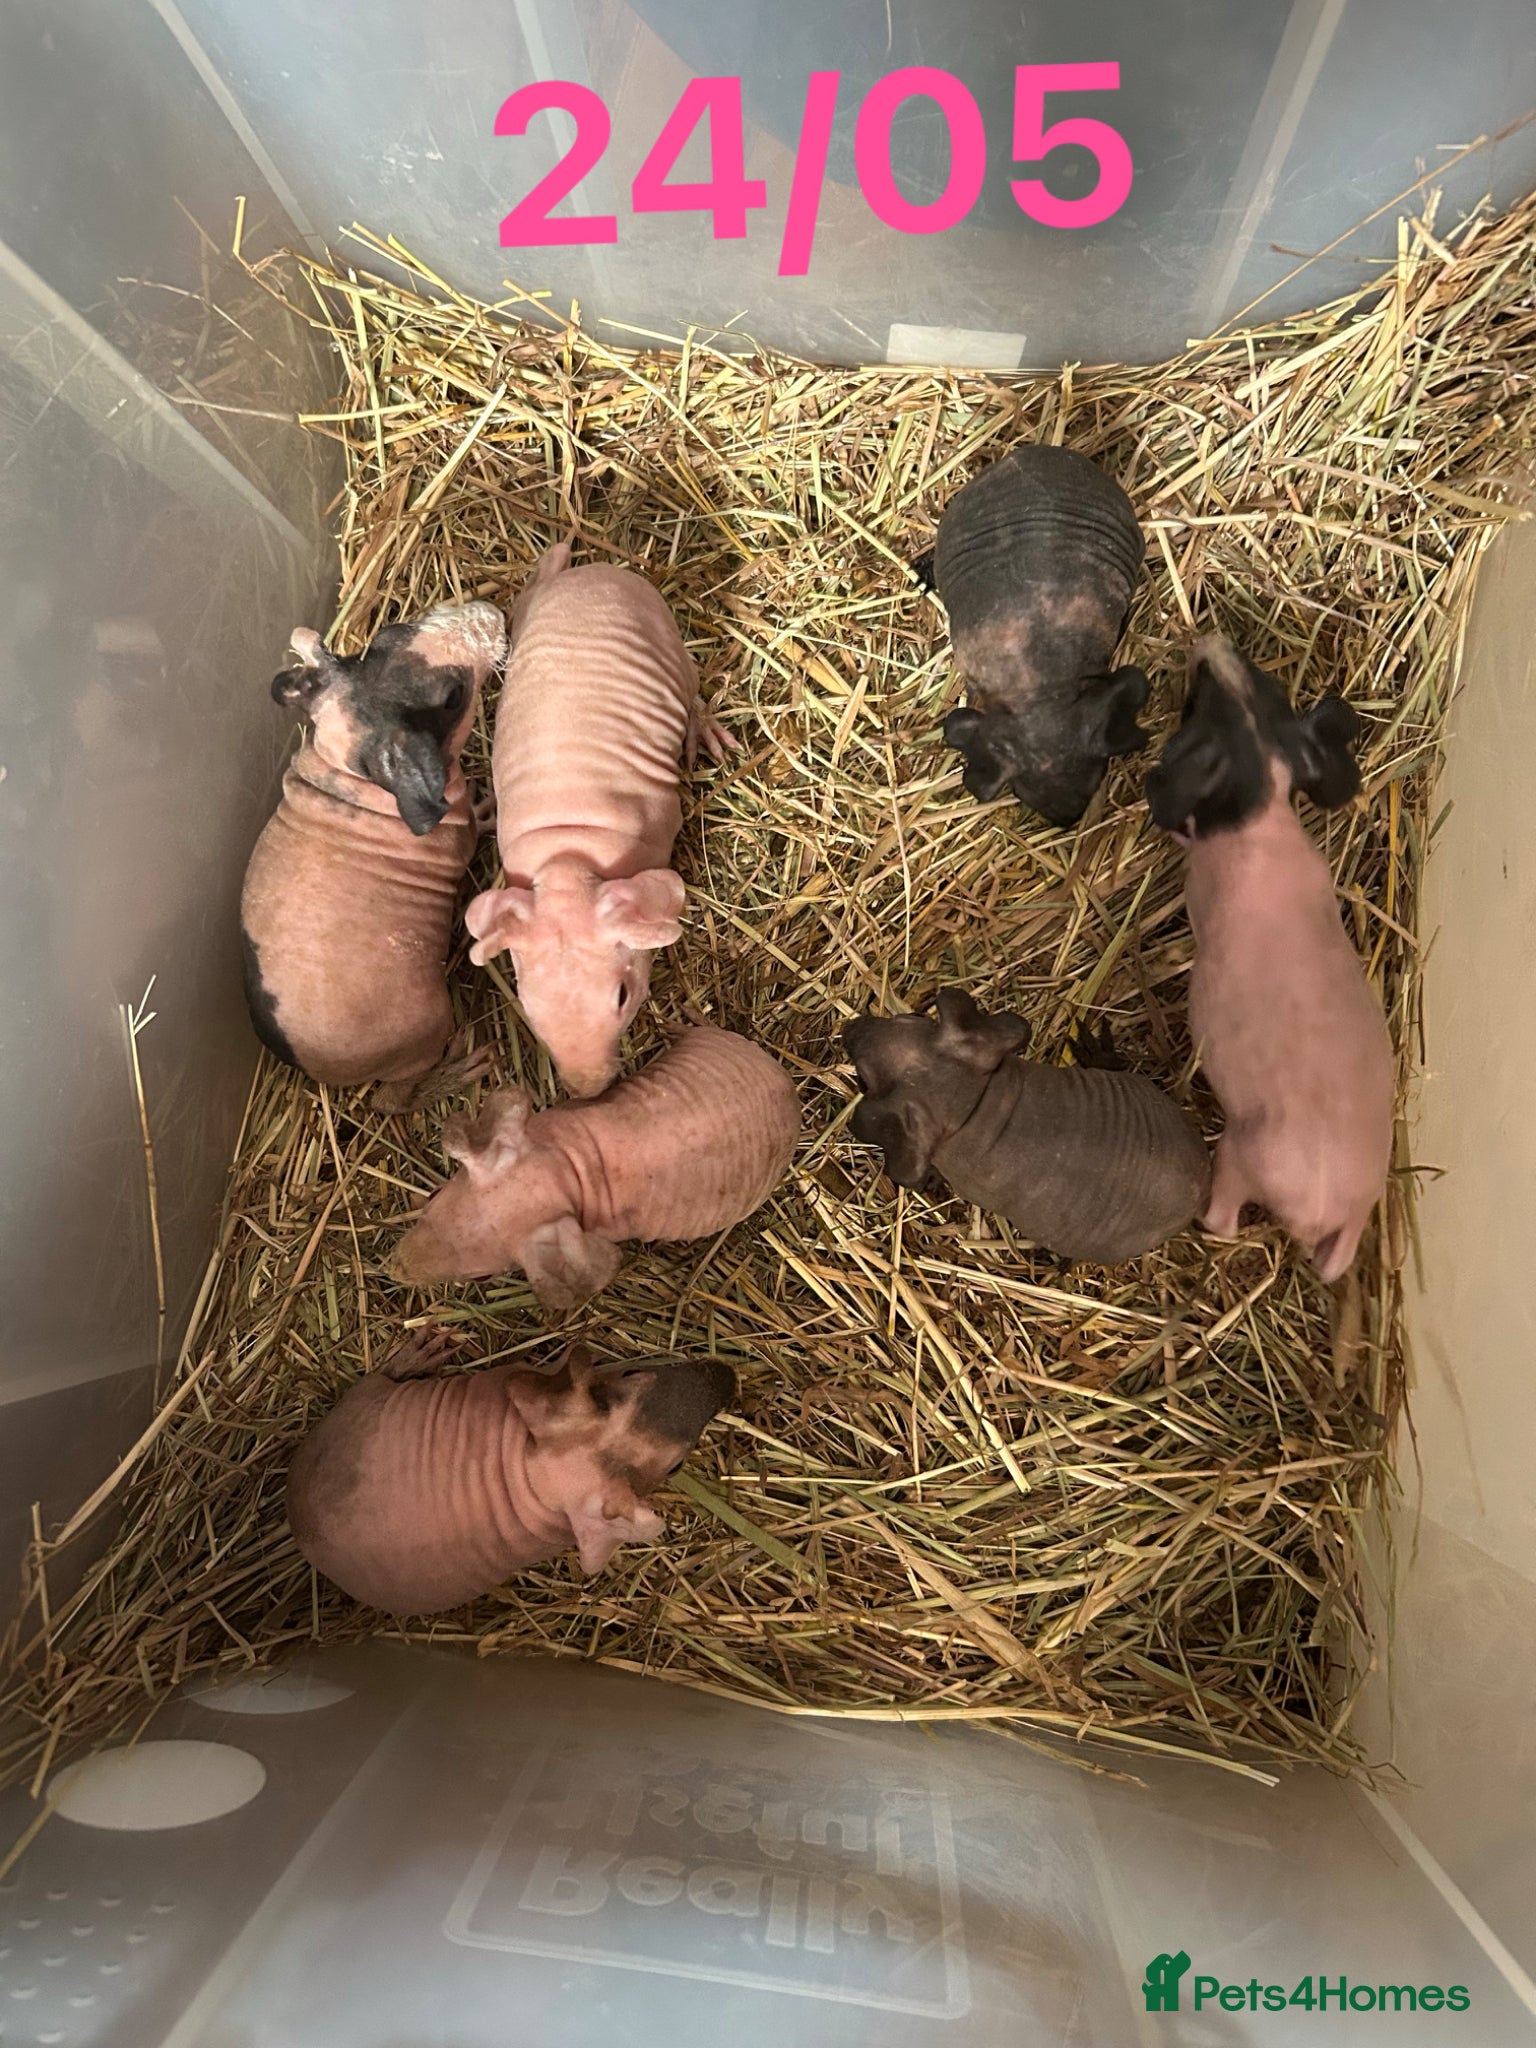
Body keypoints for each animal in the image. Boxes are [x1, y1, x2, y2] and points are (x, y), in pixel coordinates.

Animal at [240, 601, 508, 1108]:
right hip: (429, 1027)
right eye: (452, 697)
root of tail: (314, 1070)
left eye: (387, 633)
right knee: (390, 1102)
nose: (491, 612)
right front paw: (485, 811)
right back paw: (457, 1071)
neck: (352, 773)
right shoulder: (459, 836)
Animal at [286, 1330, 735, 1613]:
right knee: (380, 1377)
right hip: (361, 1400)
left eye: (632, 1372)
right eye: (676, 1466)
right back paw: (414, 1358)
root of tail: (300, 1528)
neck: (528, 1469)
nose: (727, 1375)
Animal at [464, 542, 731, 1099]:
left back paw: (703, 731)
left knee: (692, 686)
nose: (588, 1088)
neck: (568, 851)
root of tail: (595, 572)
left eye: (623, 996)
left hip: (666, 633)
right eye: (529, 1006)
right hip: (534, 612)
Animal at [1146, 633, 1393, 1282]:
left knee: (1224, 1221)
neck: (1262, 816)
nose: (1209, 640)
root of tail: (1332, 1207)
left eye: (1198, 701)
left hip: (1242, 1155)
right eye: (1271, 685)